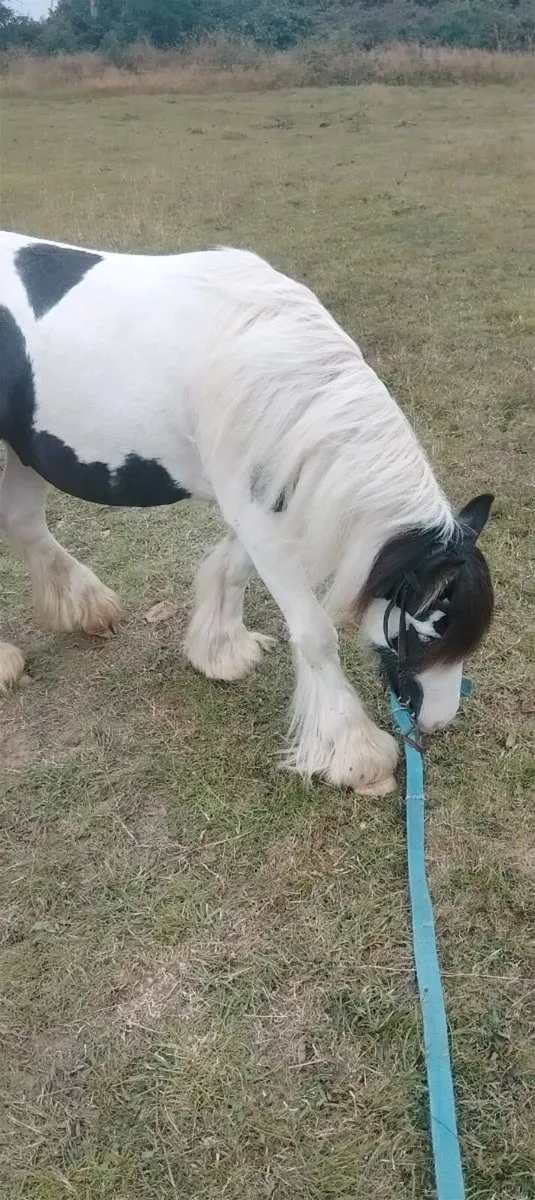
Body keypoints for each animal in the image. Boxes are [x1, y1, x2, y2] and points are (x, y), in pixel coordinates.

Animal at [0, 232, 494, 794]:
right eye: (429, 630)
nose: (436, 723)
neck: (282, 376)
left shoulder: (262, 502)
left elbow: (231, 571)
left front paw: (220, 652)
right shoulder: (257, 515)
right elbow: (315, 634)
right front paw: (357, 757)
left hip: (26, 453)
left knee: (23, 521)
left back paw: (86, 608)